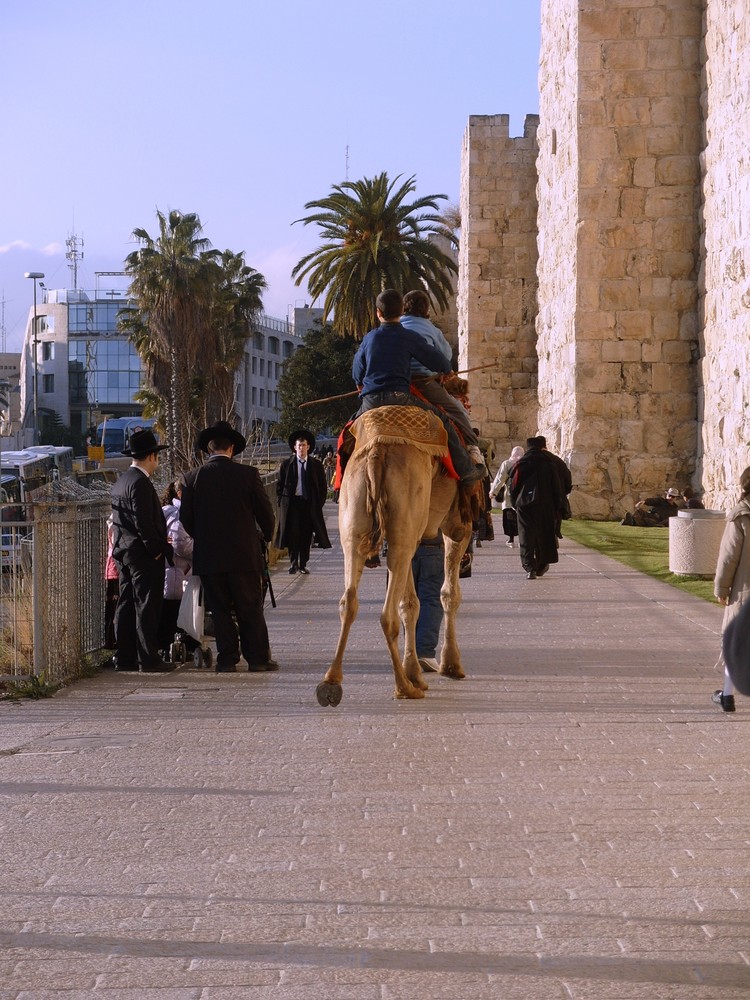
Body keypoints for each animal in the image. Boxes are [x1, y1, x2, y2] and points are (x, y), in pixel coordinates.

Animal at [318, 402, 476, 708]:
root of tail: (377, 453)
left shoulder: (415, 535)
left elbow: (410, 602)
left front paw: (416, 671)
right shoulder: (458, 527)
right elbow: (449, 593)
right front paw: (451, 665)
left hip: (355, 520)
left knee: (349, 600)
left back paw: (331, 683)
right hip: (407, 518)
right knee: (386, 614)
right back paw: (403, 687)